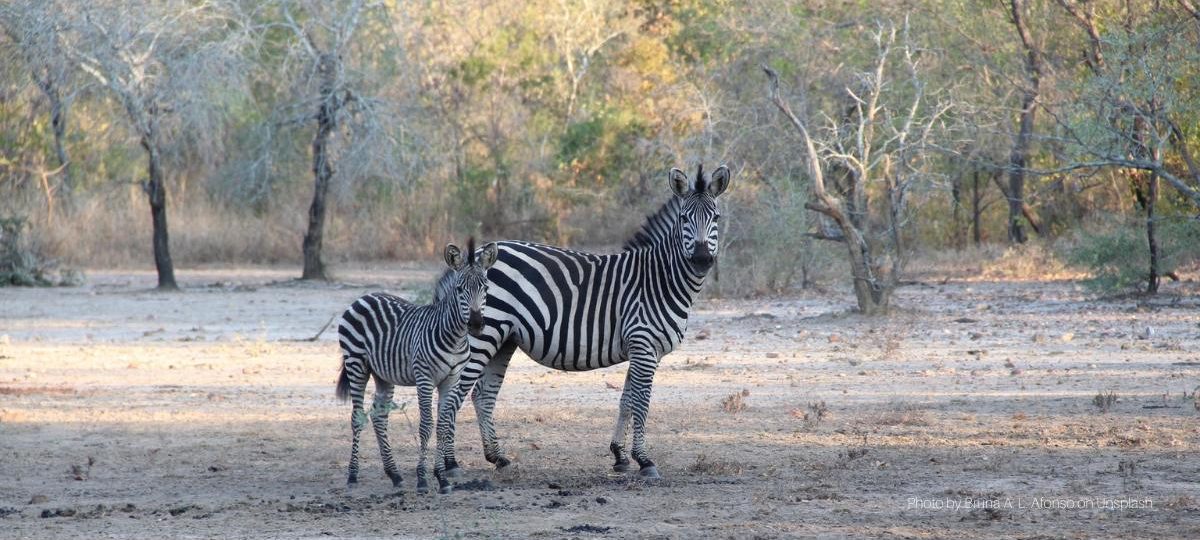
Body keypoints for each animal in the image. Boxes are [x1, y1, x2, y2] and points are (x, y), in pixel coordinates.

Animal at [335, 238, 498, 494]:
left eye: (486, 289)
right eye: (459, 289)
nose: (476, 324)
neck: (455, 338)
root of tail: (364, 297)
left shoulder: (452, 379)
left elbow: (443, 424)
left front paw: (442, 479)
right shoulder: (425, 378)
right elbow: (426, 425)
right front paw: (422, 479)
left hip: (383, 374)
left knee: (379, 417)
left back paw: (395, 475)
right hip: (356, 364)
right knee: (357, 417)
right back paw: (352, 476)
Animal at [439, 164, 730, 479]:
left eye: (716, 217)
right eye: (684, 218)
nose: (701, 259)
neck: (659, 279)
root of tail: (475, 256)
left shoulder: (640, 348)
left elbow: (626, 400)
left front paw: (619, 455)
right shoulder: (644, 344)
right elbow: (641, 402)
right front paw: (644, 460)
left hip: (503, 339)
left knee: (483, 394)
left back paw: (498, 457)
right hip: (483, 335)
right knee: (453, 398)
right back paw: (451, 465)